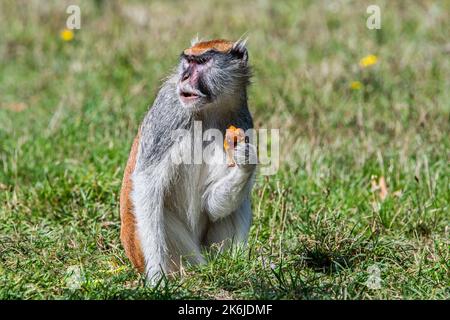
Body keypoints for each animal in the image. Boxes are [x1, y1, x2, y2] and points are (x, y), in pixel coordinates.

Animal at [119, 38, 256, 282]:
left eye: (202, 62)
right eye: (187, 62)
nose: (184, 77)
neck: (210, 108)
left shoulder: (242, 118)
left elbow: (211, 204)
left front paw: (246, 160)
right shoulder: (171, 110)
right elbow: (146, 182)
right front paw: (156, 276)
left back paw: (235, 264)